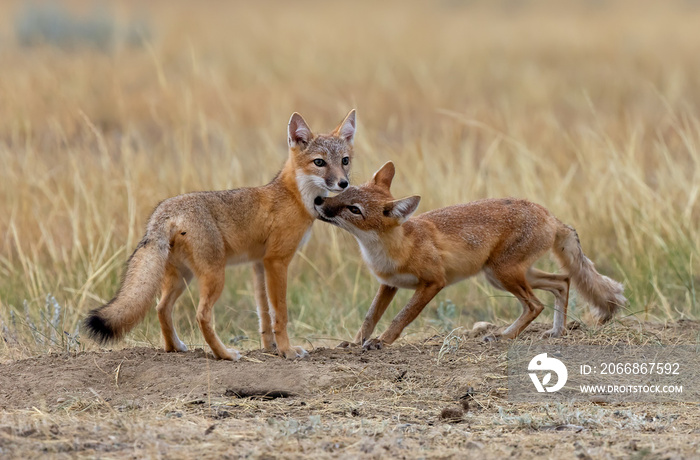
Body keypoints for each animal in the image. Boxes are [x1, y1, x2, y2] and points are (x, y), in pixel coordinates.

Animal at [85, 108, 358, 360]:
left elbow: (264, 315)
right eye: (319, 162)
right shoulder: (276, 261)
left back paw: (174, 347)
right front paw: (287, 351)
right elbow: (280, 313)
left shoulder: (259, 264)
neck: (295, 196)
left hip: (181, 277)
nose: (343, 183)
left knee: (161, 308)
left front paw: (270, 348)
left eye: (345, 160)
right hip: (214, 276)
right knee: (201, 315)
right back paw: (224, 354)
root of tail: (165, 210)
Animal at [314, 162, 628, 348]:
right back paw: (556, 332)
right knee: (562, 281)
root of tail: (550, 215)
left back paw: (505, 335)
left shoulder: (433, 283)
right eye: (343, 193)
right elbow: (369, 317)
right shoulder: (388, 284)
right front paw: (356, 342)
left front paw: (383, 341)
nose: (319, 203)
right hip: (508, 274)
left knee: (535, 305)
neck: (392, 248)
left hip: (502, 274)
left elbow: (401, 317)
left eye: (354, 209)